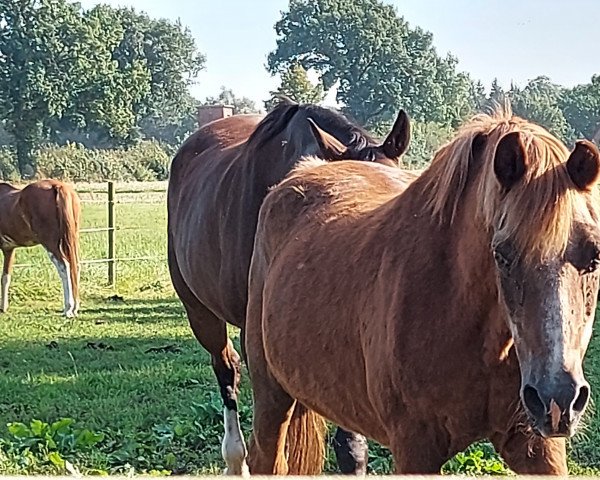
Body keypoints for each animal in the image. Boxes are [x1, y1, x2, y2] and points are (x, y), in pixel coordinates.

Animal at [0, 178, 81, 316]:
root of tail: (57, 185)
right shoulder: (9, 249)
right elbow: (5, 277)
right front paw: (3, 307)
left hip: (50, 243)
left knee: (64, 266)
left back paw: (68, 308)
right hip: (71, 239)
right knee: (74, 266)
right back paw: (74, 307)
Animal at [244, 107, 600, 474]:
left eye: (594, 255)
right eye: (503, 254)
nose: (558, 400)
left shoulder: (537, 446)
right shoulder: (415, 447)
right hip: (271, 393)